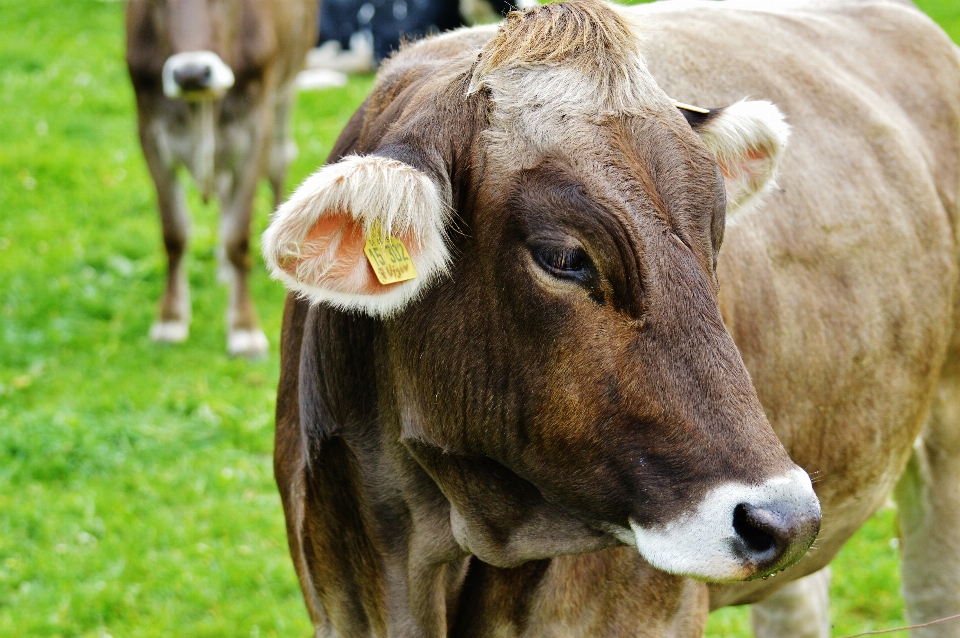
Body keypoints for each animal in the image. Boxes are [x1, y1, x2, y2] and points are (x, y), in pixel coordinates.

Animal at [124, 0, 316, 358]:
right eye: (156, 2)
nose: (190, 74)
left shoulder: (257, 127)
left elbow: (237, 236)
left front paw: (243, 328)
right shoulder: (149, 131)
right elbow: (174, 233)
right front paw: (170, 318)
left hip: (288, 86)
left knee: (280, 160)